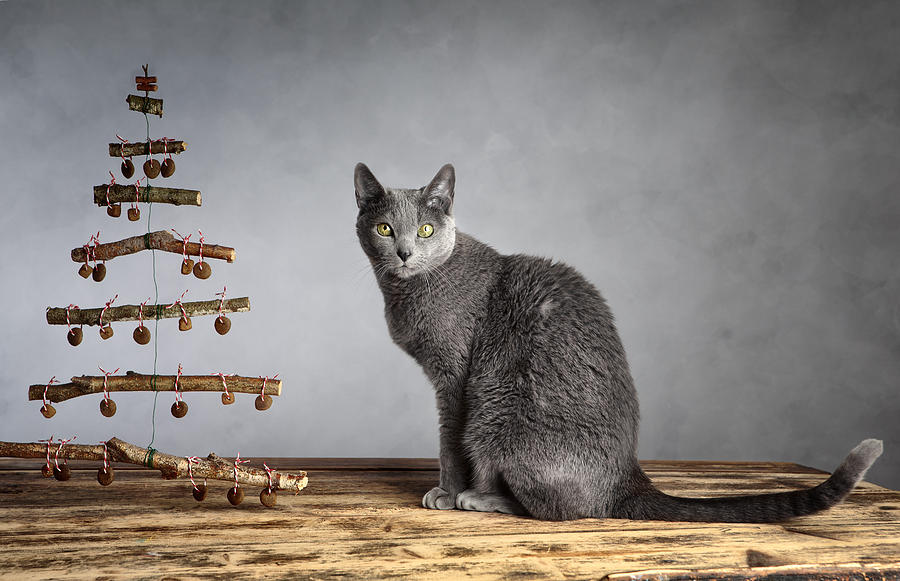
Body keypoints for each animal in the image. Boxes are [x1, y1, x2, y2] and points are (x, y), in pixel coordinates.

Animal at [356, 162, 884, 520]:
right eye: (384, 228)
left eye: (426, 229)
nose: (404, 252)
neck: (409, 291)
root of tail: (629, 476)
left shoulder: (454, 377)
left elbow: (448, 442)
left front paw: (444, 491)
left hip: (494, 406)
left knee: (554, 507)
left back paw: (477, 498)